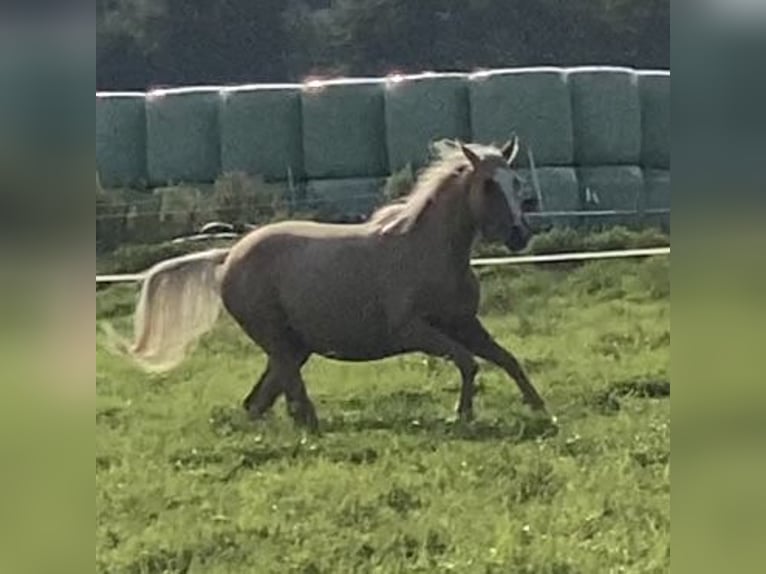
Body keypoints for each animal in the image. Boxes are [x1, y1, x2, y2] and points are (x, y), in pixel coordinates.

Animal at [134, 136, 552, 432]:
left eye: (516, 182)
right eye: (488, 185)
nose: (520, 236)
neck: (427, 250)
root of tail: (229, 255)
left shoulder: (464, 323)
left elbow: (507, 360)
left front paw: (541, 410)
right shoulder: (413, 331)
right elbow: (468, 363)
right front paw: (461, 415)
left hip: (293, 347)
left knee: (259, 401)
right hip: (278, 341)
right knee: (287, 395)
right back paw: (312, 428)